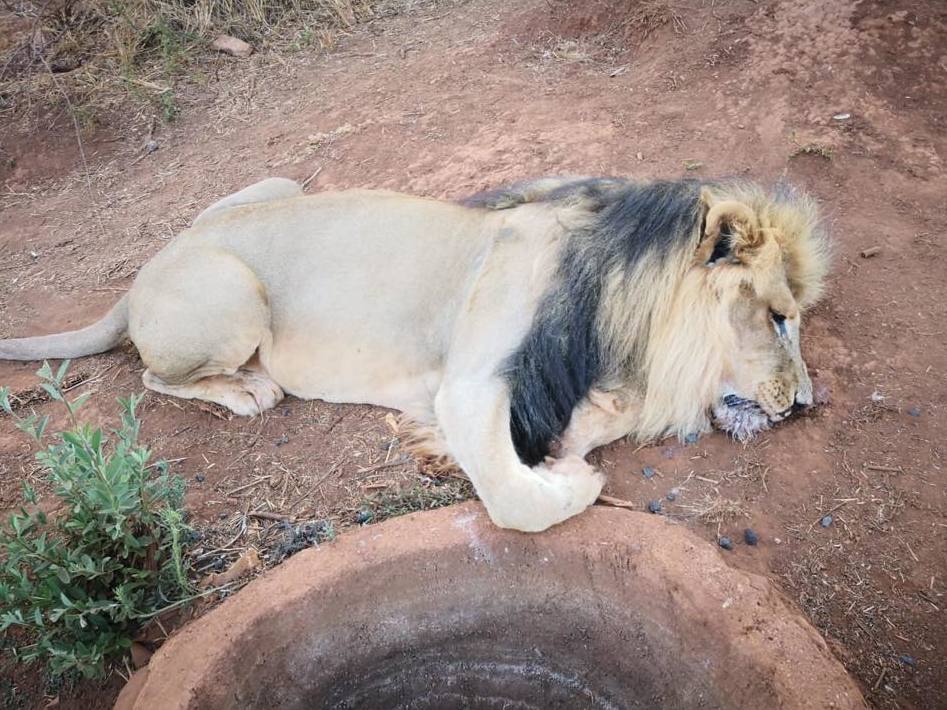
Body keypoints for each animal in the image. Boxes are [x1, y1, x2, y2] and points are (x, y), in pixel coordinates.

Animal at [0, 175, 828, 532]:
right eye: (777, 318)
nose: (805, 403)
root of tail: (151, 263)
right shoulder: (467, 385)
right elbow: (516, 501)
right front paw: (571, 482)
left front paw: (570, 447)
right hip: (233, 296)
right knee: (150, 372)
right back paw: (245, 389)